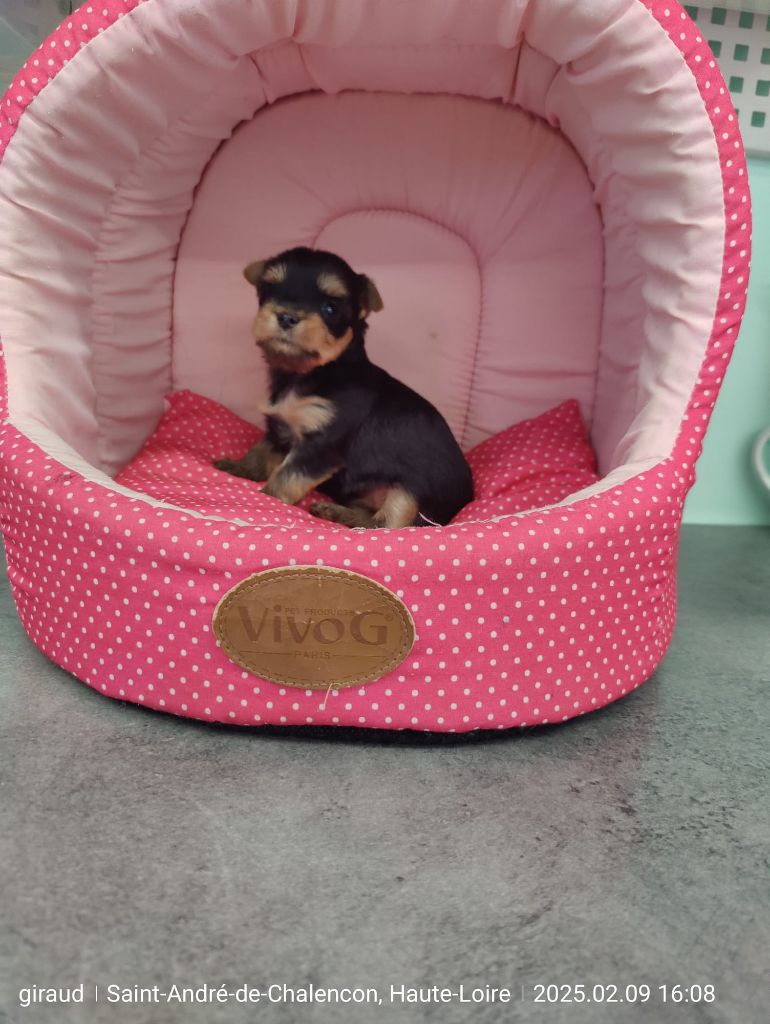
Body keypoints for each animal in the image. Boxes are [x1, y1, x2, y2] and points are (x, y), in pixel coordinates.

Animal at [213, 247, 473, 529]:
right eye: (268, 291)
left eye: (330, 308)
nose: (286, 316)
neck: (308, 373)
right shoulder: (279, 427)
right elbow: (261, 452)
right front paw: (239, 468)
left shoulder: (322, 444)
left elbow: (288, 475)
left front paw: (267, 496)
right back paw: (335, 511)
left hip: (412, 490)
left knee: (387, 523)